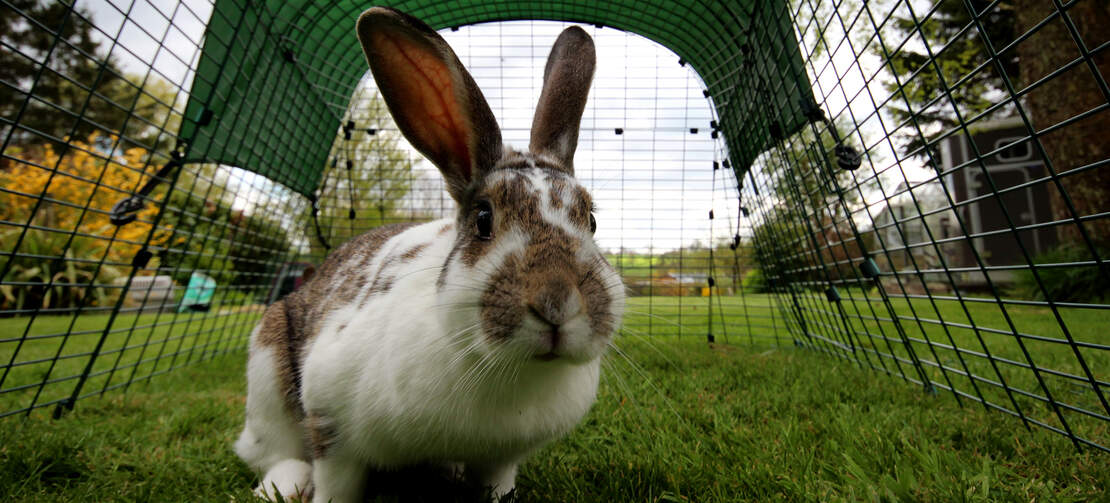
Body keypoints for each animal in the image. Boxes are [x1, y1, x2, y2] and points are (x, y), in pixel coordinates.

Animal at [233, 4, 626, 501]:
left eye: (590, 220)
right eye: (483, 219)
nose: (557, 305)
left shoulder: (502, 458)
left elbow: (497, 483)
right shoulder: (329, 420)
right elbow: (336, 482)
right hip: (266, 371)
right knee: (268, 451)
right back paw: (285, 484)